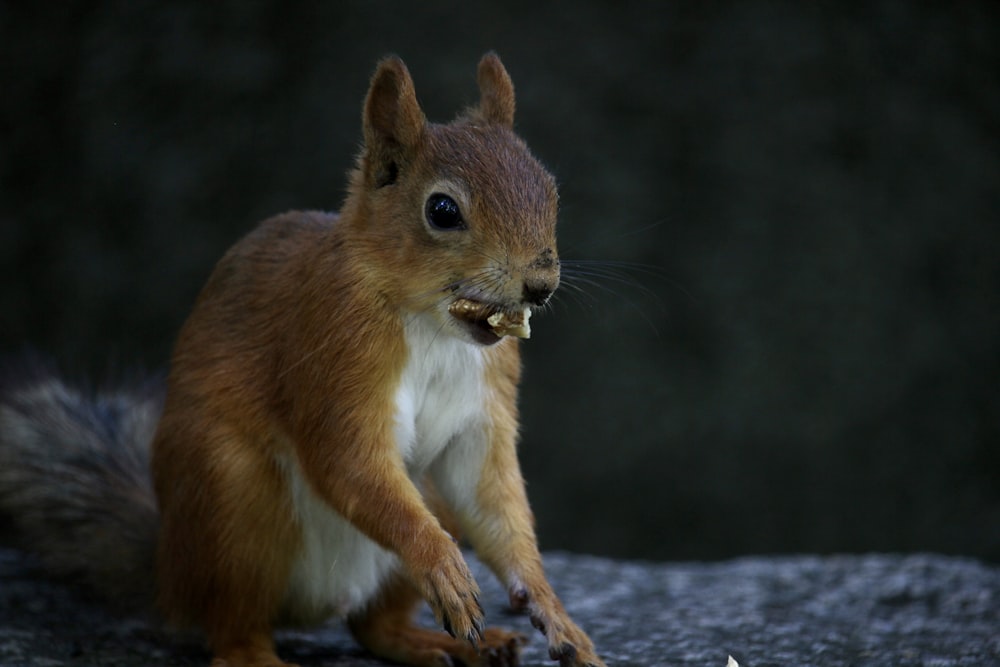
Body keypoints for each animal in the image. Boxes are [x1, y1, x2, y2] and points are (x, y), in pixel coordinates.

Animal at [0, 54, 600, 667]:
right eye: (442, 210)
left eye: (550, 191)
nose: (541, 285)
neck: (433, 324)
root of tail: (168, 572)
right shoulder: (332, 351)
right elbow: (347, 462)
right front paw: (442, 564)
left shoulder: (484, 407)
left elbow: (493, 500)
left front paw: (554, 612)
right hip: (231, 501)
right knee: (231, 623)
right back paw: (255, 654)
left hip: (417, 505)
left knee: (373, 627)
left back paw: (446, 642)